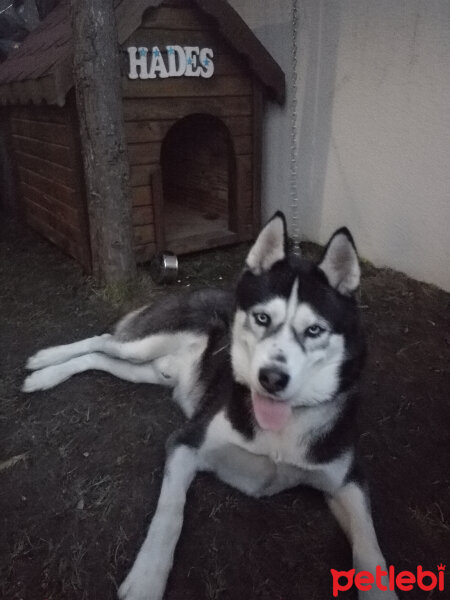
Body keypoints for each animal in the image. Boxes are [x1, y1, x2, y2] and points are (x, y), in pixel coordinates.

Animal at [24, 213, 398, 596]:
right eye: (262, 318)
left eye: (314, 330)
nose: (271, 378)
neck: (280, 430)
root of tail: (200, 289)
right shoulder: (186, 442)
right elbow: (170, 514)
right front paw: (147, 579)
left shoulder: (347, 480)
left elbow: (369, 546)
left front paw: (380, 590)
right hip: (142, 346)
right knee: (102, 341)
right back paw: (43, 362)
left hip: (147, 372)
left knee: (99, 358)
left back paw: (44, 376)